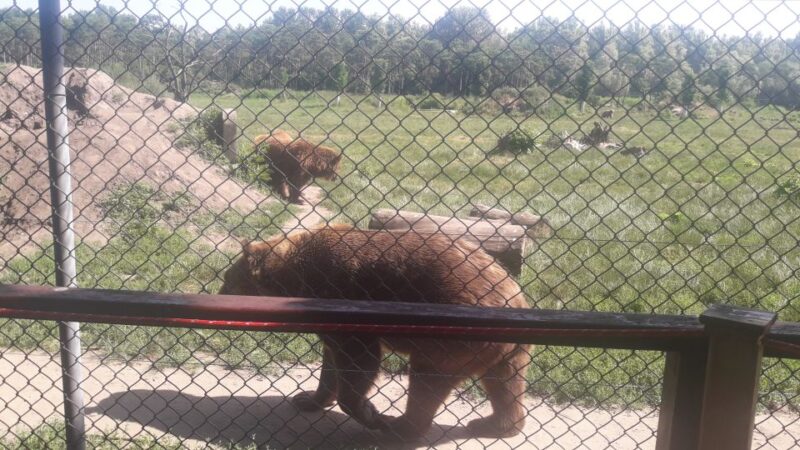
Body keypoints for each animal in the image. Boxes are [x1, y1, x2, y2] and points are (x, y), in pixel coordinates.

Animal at [219, 224, 531, 441]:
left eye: (227, 279)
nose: (218, 294)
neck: (293, 278)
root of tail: (512, 296)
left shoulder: (338, 291)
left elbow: (359, 358)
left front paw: (369, 411)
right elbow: (332, 361)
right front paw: (308, 398)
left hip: (452, 332)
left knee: (427, 380)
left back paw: (399, 426)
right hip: (507, 346)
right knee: (506, 382)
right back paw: (497, 424)